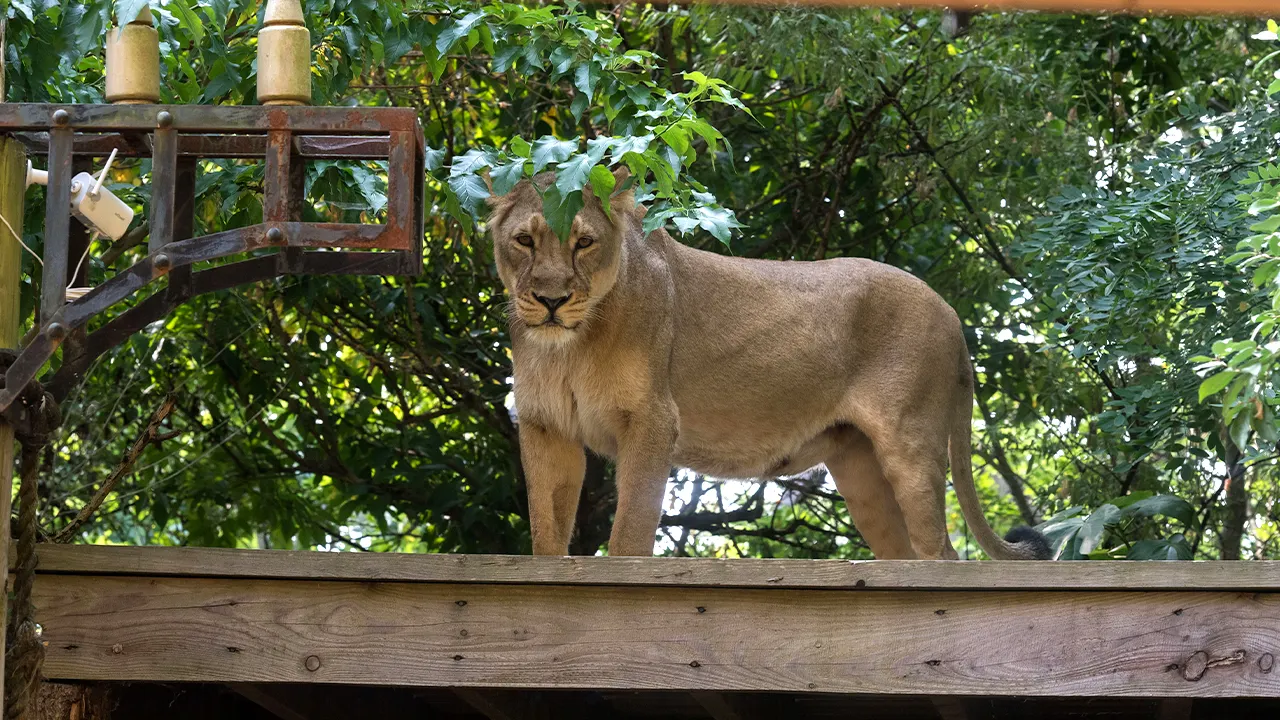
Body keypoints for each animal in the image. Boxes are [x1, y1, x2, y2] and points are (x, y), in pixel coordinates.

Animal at [486, 168, 1050, 560]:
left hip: (909, 446)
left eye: (584, 242)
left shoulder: (651, 419)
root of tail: (951, 312)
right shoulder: (545, 425)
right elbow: (546, 529)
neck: (570, 348)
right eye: (525, 240)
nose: (552, 300)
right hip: (861, 469)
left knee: (943, 556)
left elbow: (629, 531)